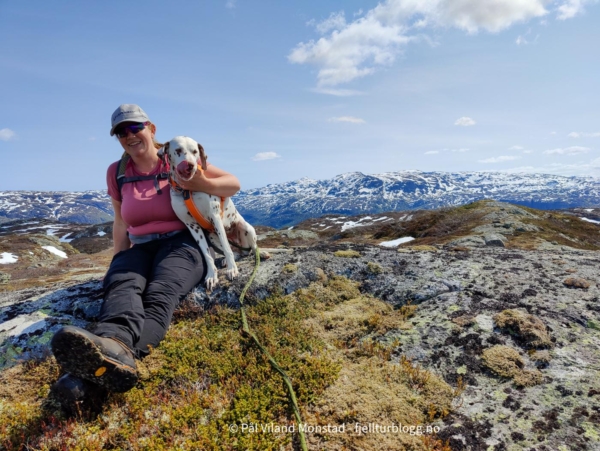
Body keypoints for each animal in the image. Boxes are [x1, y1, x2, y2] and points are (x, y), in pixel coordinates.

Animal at [159, 136, 265, 291]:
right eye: (178, 150)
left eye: (195, 151)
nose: (189, 165)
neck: (187, 191)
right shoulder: (192, 226)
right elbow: (207, 255)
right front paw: (211, 275)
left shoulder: (215, 218)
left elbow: (227, 248)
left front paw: (232, 269)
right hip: (212, 237)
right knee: (237, 252)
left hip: (247, 228)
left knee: (251, 248)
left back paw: (260, 253)